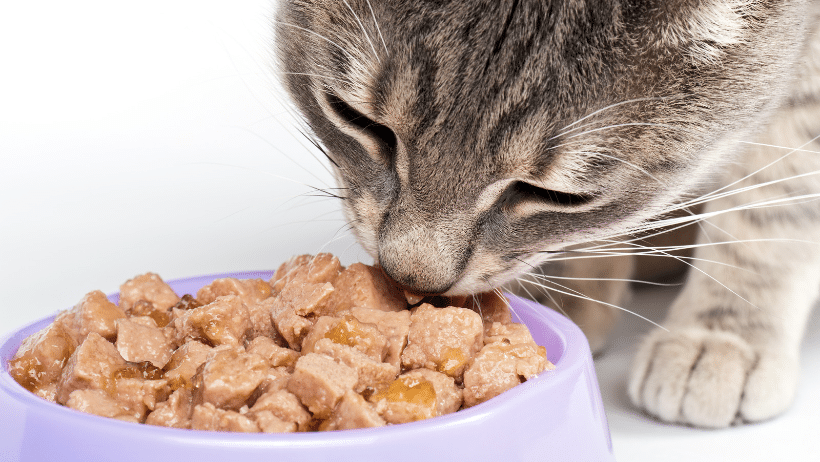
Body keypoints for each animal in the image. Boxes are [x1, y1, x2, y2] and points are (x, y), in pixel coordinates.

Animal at [274, 0, 820, 430]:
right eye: (356, 119)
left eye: (558, 196)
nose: (410, 277)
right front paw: (570, 293)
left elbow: (777, 197)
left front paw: (726, 330)